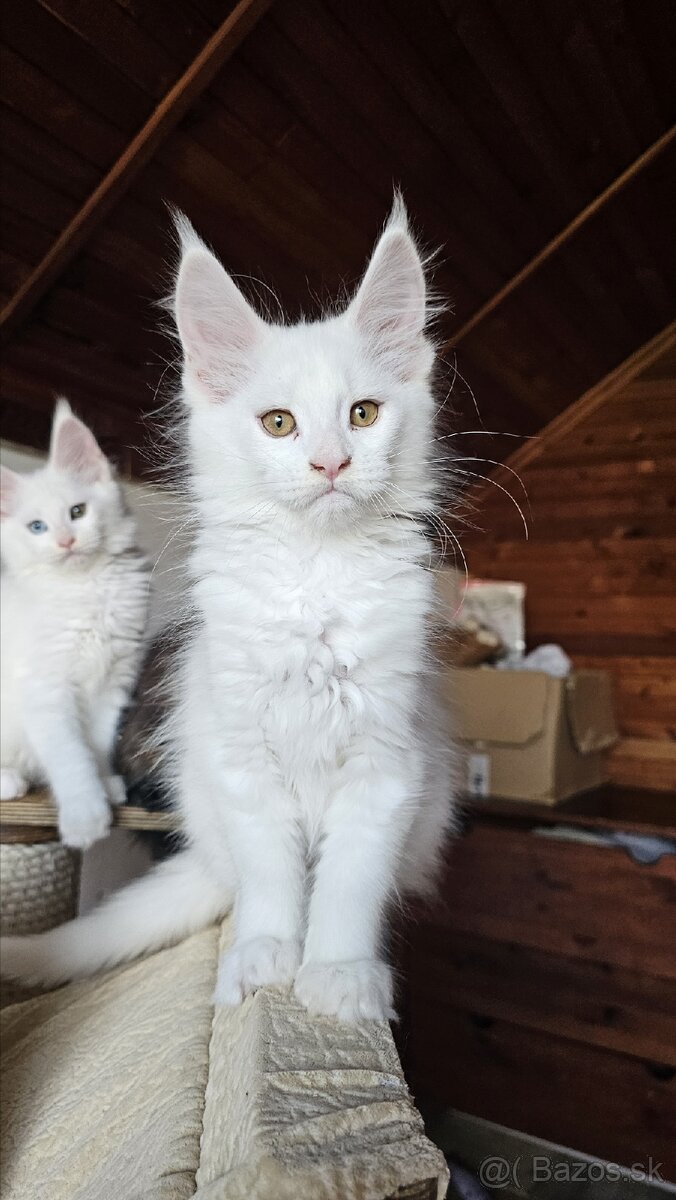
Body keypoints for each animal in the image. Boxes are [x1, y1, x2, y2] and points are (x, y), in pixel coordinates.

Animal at [0, 403, 149, 844]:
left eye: (77, 512)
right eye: (37, 527)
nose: (66, 541)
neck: (88, 588)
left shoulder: (113, 682)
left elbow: (95, 745)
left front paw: (106, 785)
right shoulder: (45, 689)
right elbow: (71, 756)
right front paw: (86, 815)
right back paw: (9, 780)